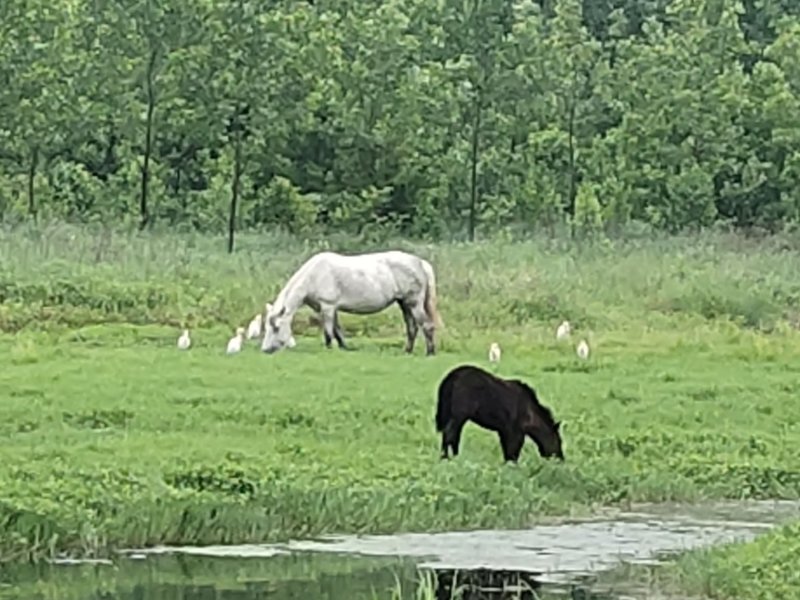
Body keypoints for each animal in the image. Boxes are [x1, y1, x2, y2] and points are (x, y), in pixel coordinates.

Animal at [261, 250, 443, 355]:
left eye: (276, 327)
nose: (265, 350)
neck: (313, 276)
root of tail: (420, 262)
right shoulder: (329, 308)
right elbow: (337, 330)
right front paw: (344, 347)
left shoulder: (328, 307)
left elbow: (328, 331)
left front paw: (329, 348)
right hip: (404, 304)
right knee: (412, 328)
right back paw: (407, 351)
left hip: (414, 303)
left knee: (426, 325)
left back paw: (430, 352)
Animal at [435, 364, 564, 463]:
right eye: (559, 441)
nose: (561, 458)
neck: (530, 413)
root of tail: (452, 377)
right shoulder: (515, 432)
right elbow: (513, 451)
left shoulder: (504, 431)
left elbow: (506, 450)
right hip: (459, 416)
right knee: (450, 434)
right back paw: (446, 458)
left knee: (453, 435)